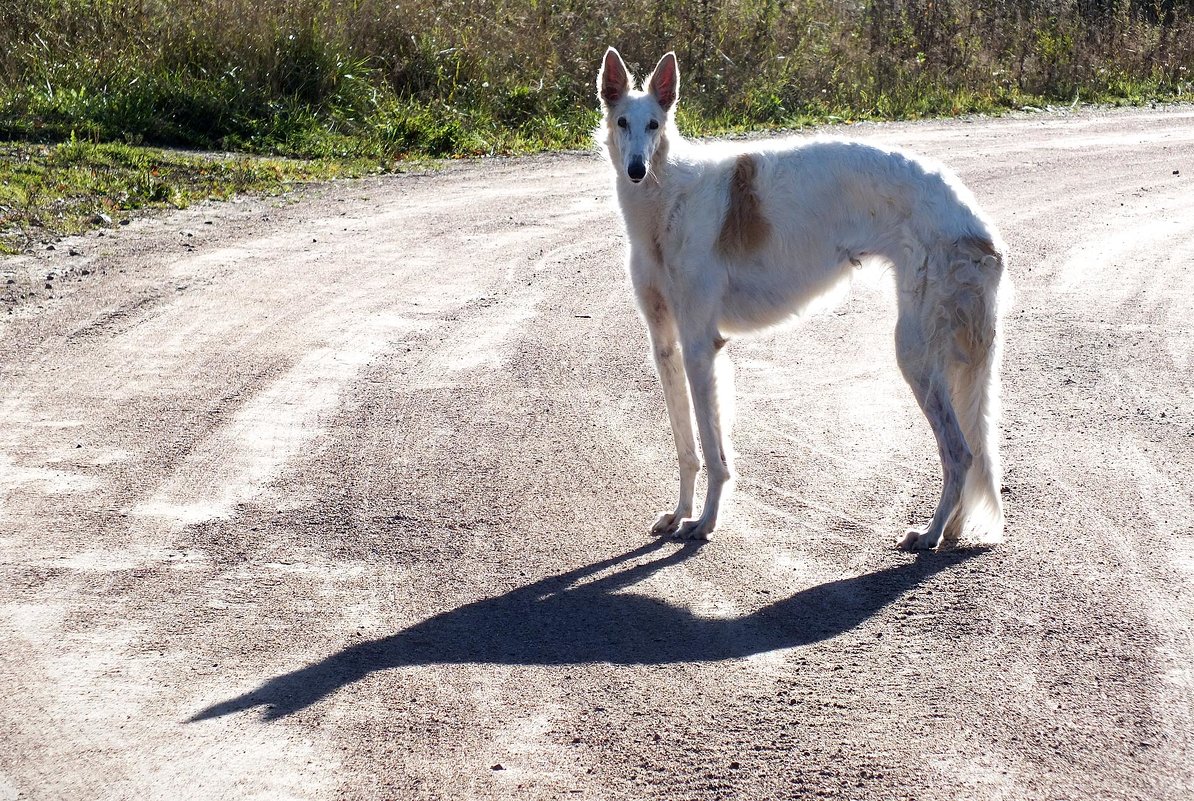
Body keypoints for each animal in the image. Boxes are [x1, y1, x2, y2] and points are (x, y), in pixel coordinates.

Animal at [597, 50, 1007, 551]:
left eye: (654, 124)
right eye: (622, 122)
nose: (636, 170)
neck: (666, 197)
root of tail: (978, 226)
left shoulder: (699, 345)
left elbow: (714, 453)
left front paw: (706, 522)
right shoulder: (667, 346)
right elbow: (686, 447)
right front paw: (679, 514)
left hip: (915, 350)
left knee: (960, 452)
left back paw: (929, 532)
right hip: (945, 354)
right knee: (968, 451)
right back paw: (950, 529)